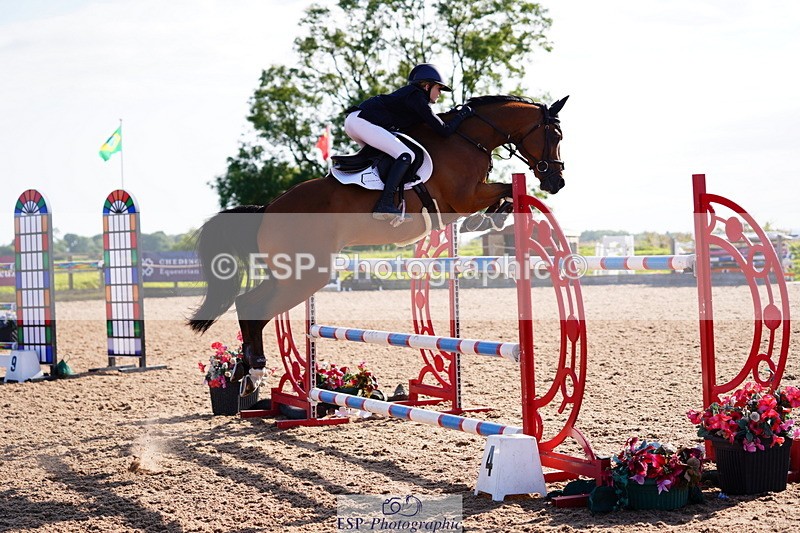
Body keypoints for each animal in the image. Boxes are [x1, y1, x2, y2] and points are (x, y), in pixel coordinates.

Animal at [188, 94, 569, 381]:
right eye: (555, 136)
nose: (557, 183)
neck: (465, 138)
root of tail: (269, 208)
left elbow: (500, 196)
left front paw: (490, 216)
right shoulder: (464, 197)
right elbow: (503, 187)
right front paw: (494, 212)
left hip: (292, 271)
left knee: (247, 303)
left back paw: (248, 368)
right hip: (305, 274)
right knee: (254, 305)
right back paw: (254, 366)